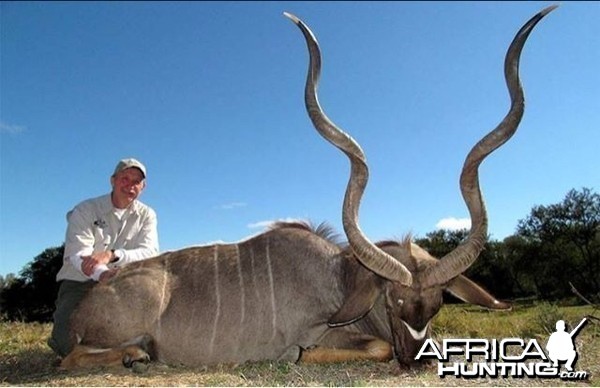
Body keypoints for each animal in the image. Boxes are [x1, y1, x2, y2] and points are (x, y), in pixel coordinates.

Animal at [58, 6, 556, 370]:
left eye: (436, 305)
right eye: (393, 301)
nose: (416, 361)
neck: (341, 278)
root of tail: (90, 303)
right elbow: (355, 348)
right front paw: (302, 354)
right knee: (70, 358)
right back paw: (136, 354)